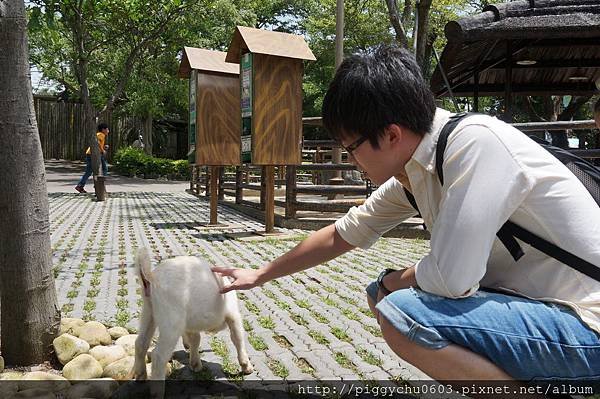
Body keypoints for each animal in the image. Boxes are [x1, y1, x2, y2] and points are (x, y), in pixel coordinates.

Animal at [131, 247, 253, 382]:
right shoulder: (233, 314)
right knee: (158, 356)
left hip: (148, 311)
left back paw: (140, 375)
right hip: (172, 319)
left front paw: (195, 364)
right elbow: (238, 337)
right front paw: (247, 367)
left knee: (140, 343)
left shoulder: (190, 323)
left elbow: (195, 339)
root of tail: (152, 277)